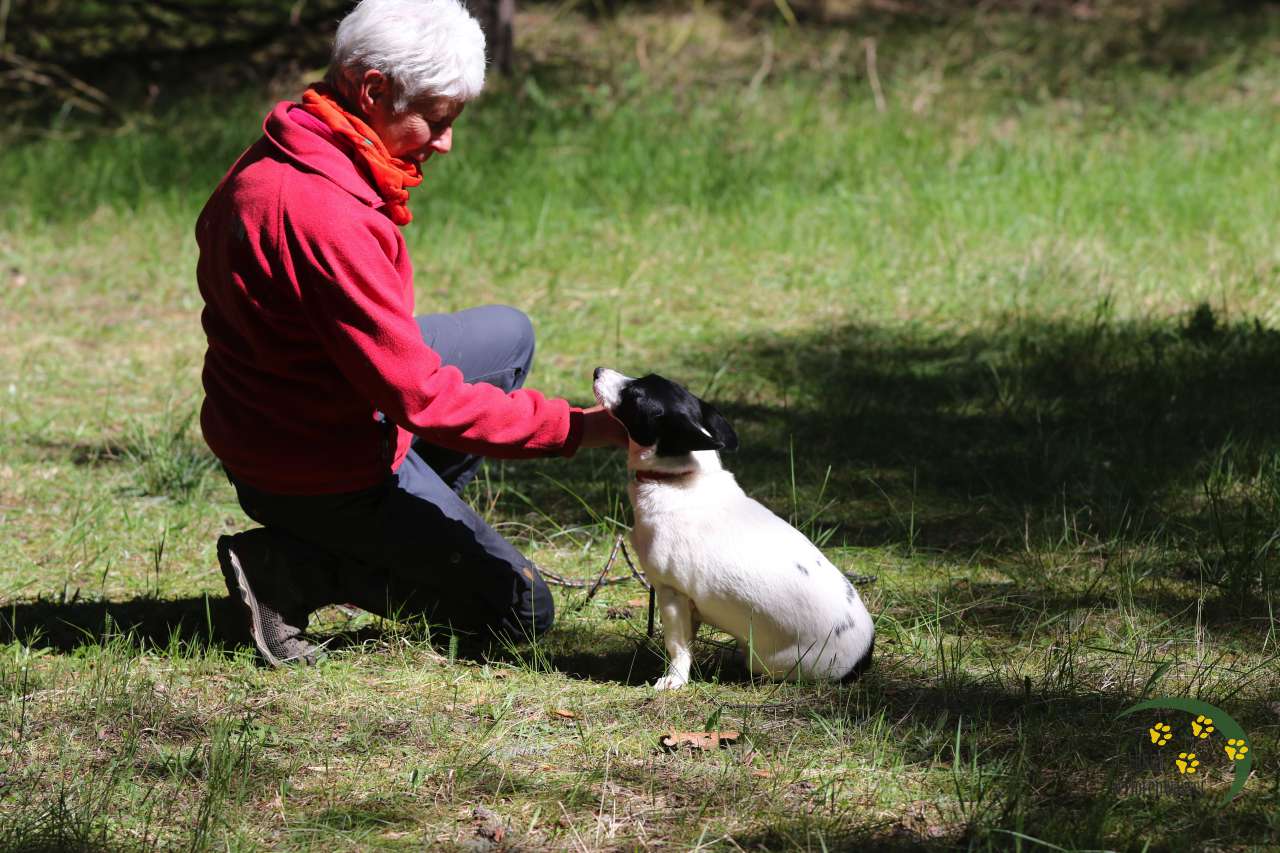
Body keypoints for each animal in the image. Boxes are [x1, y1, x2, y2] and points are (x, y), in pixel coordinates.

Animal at [593, 368, 875, 690]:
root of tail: (863, 657)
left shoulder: (671, 593)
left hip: (774, 662)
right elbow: (687, 641)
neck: (676, 479)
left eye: (635, 396)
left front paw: (674, 678)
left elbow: (677, 645)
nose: (598, 371)